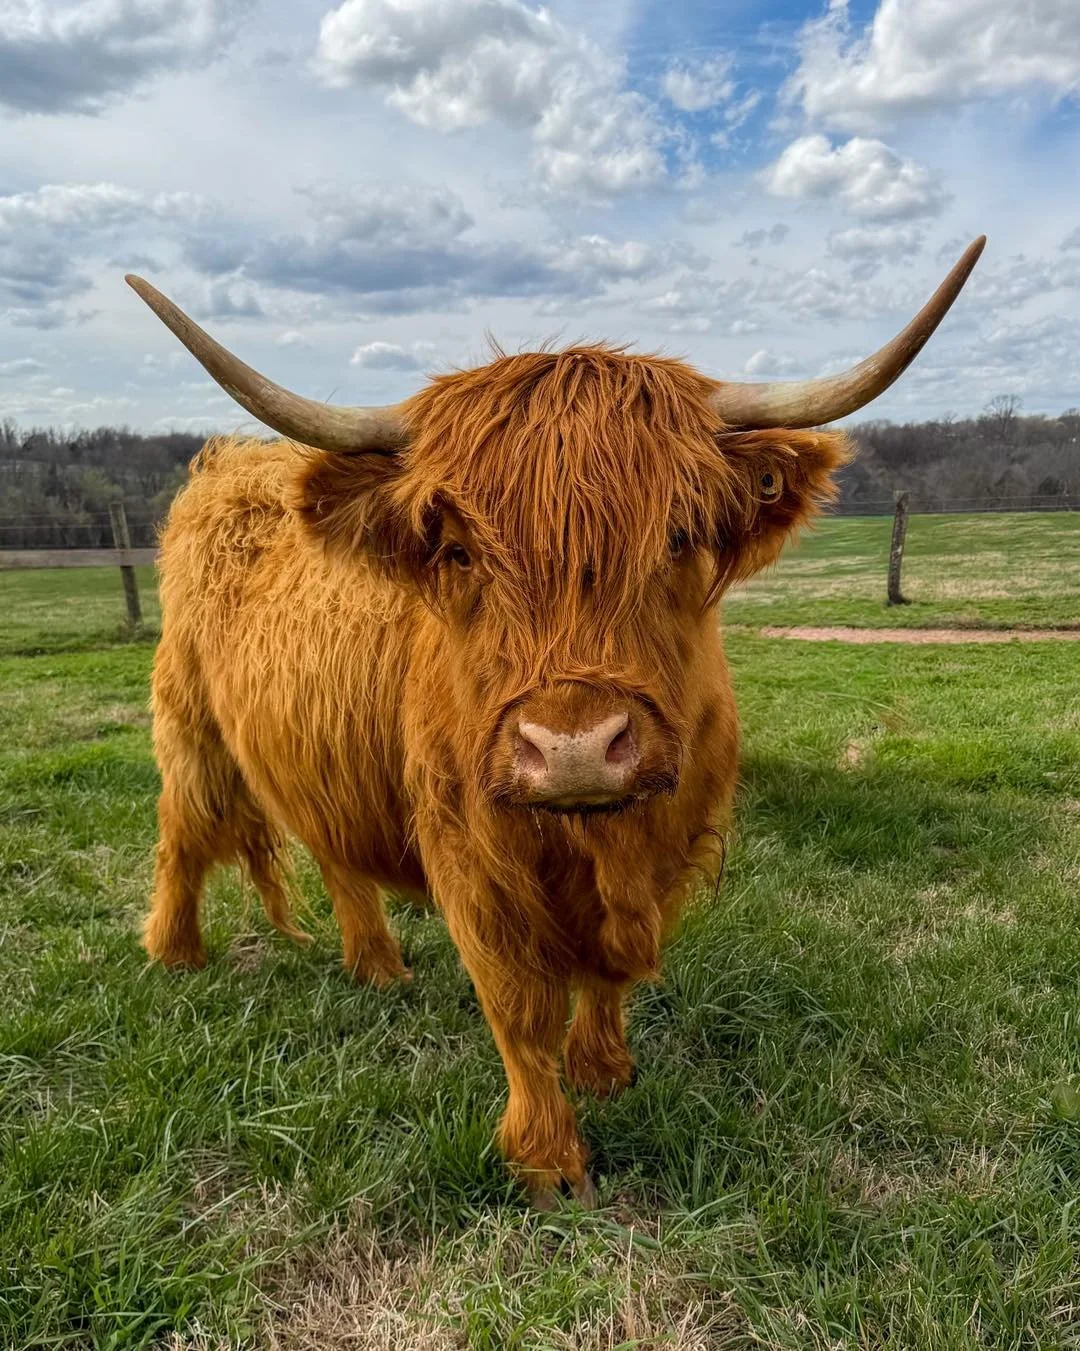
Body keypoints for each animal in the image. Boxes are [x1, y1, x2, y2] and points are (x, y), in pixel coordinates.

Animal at [128, 237, 984, 1207]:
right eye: (457, 549)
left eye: (679, 535)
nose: (574, 750)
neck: (596, 843)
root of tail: (233, 466)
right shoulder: (470, 854)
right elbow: (519, 1004)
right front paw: (547, 1160)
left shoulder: (666, 841)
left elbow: (606, 977)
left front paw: (606, 1069)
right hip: (190, 732)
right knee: (183, 837)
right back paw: (177, 954)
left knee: (337, 856)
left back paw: (378, 968)